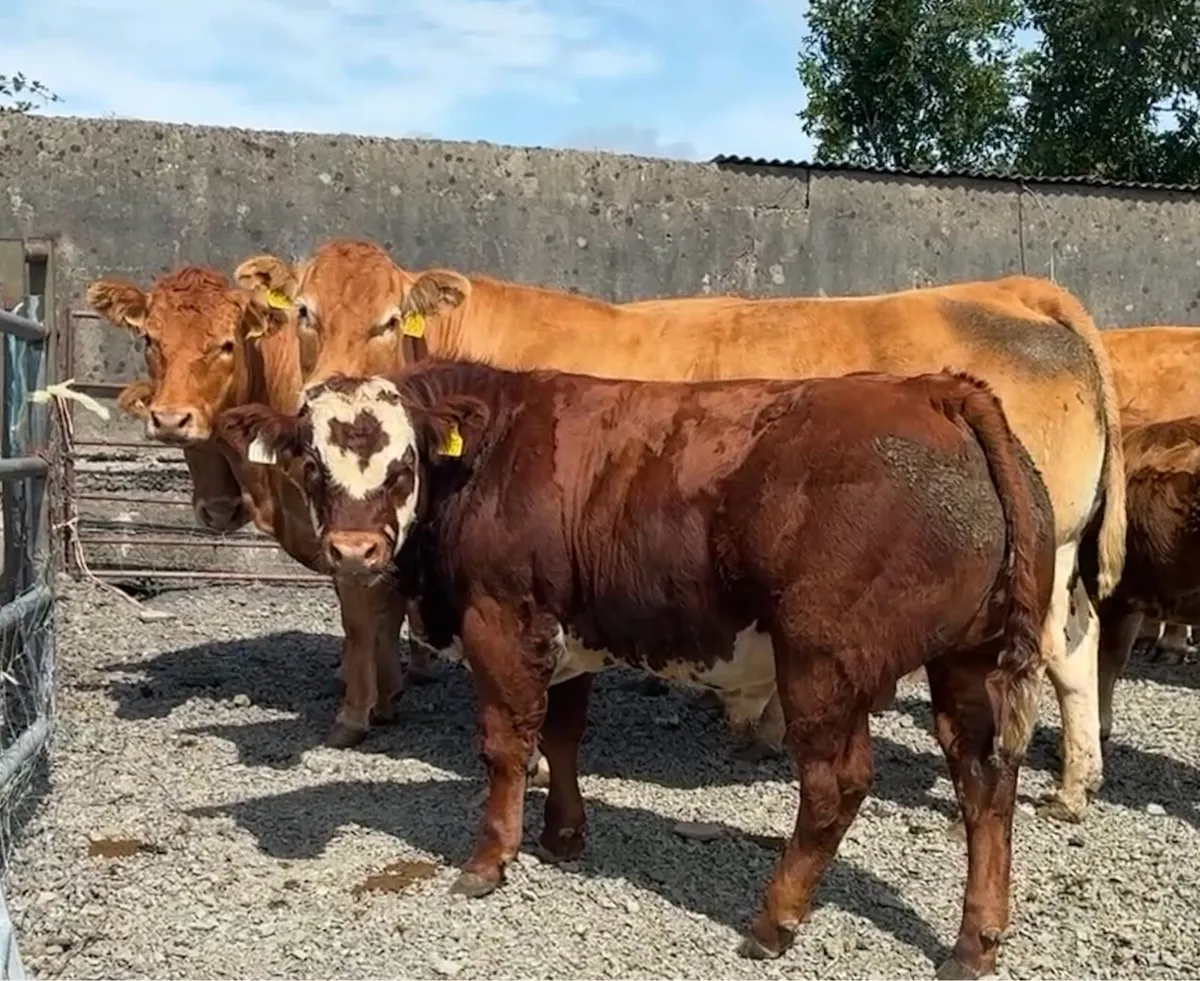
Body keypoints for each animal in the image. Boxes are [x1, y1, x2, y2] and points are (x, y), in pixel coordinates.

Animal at [85, 267, 433, 748]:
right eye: (149, 339)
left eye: (226, 345)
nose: (171, 420)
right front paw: (385, 691)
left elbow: (362, 617)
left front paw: (359, 711)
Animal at [216, 360, 1055, 978]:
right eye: (311, 461)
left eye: (404, 463)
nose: (354, 551)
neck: (487, 456)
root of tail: (934, 388)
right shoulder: (566, 634)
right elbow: (562, 737)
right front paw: (563, 834)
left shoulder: (500, 622)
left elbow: (506, 747)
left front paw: (490, 858)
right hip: (969, 660)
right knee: (984, 782)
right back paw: (975, 940)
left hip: (822, 664)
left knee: (835, 786)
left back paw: (772, 919)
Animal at [233, 237, 1124, 823]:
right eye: (305, 311)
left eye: (390, 320)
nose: (329, 390)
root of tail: (1012, 288)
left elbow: (368, 613)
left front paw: (359, 714)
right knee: (1080, 642)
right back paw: (1078, 781)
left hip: (1033, 560)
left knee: (1047, 654)